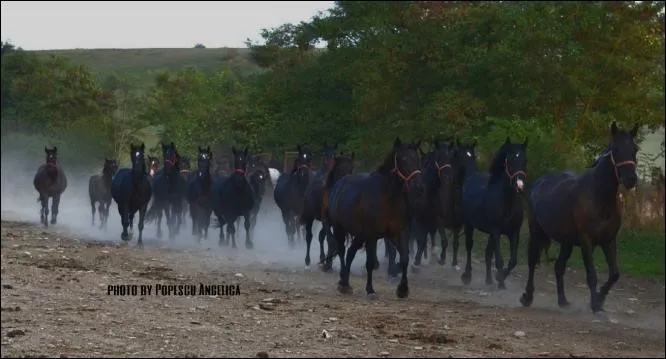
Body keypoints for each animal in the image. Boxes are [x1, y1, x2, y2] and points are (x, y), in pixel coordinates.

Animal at [322, 138, 426, 300]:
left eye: (418, 159)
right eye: (403, 159)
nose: (418, 187)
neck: (388, 197)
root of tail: (339, 184)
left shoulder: (400, 233)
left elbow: (404, 259)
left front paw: (403, 289)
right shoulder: (372, 235)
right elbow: (370, 262)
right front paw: (370, 290)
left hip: (359, 234)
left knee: (350, 252)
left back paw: (345, 281)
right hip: (340, 228)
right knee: (342, 251)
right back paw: (343, 283)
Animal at [460, 136, 528, 292]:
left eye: (525, 160)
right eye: (509, 160)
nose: (519, 185)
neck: (507, 203)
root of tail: (471, 176)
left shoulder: (514, 232)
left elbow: (513, 260)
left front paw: (498, 277)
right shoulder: (496, 231)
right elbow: (499, 259)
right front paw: (501, 282)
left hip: (489, 233)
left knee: (487, 253)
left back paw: (489, 280)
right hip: (469, 225)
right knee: (469, 247)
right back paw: (467, 276)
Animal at [520, 122, 640, 314]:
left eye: (635, 148)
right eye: (615, 148)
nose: (630, 179)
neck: (599, 197)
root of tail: (539, 182)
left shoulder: (608, 240)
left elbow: (614, 274)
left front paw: (600, 299)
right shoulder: (586, 241)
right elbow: (591, 275)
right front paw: (595, 302)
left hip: (566, 242)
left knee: (559, 267)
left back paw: (563, 301)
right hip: (536, 232)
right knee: (532, 262)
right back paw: (527, 297)